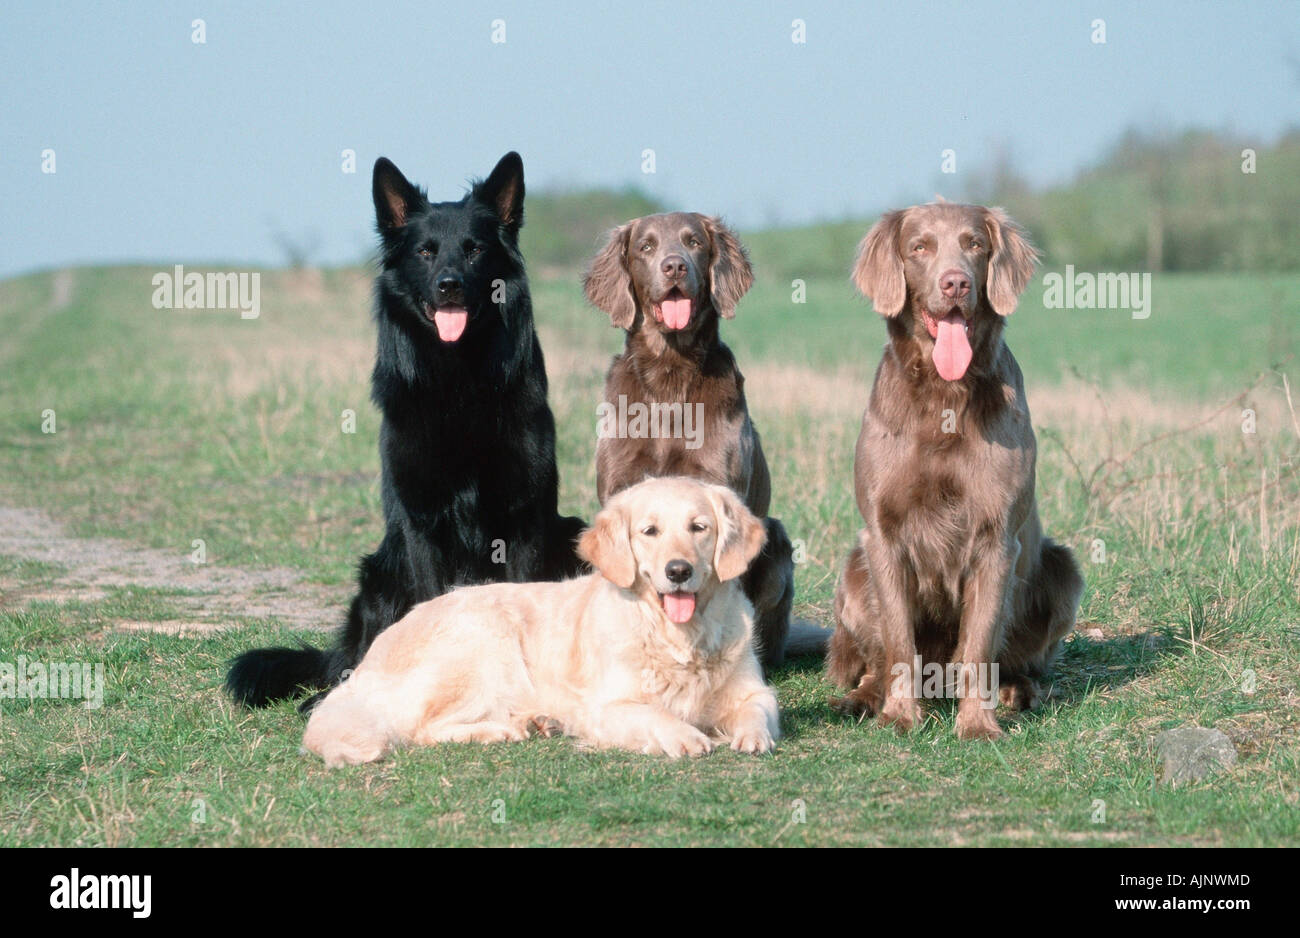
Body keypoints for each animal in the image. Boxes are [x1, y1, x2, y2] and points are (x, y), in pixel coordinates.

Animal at [227, 151, 585, 706]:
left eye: (475, 250)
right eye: (425, 251)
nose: (449, 284)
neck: (459, 382)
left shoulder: (524, 519)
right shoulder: (421, 523)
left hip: (570, 533)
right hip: (380, 572)